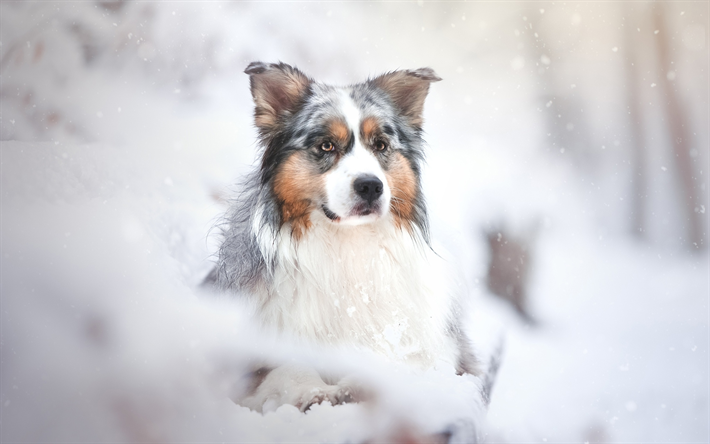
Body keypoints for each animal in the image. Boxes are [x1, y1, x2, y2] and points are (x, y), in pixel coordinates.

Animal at [209, 61, 482, 412]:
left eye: (380, 145)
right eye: (326, 145)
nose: (370, 186)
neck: (349, 246)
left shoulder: (439, 352)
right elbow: (285, 367)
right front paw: (313, 391)